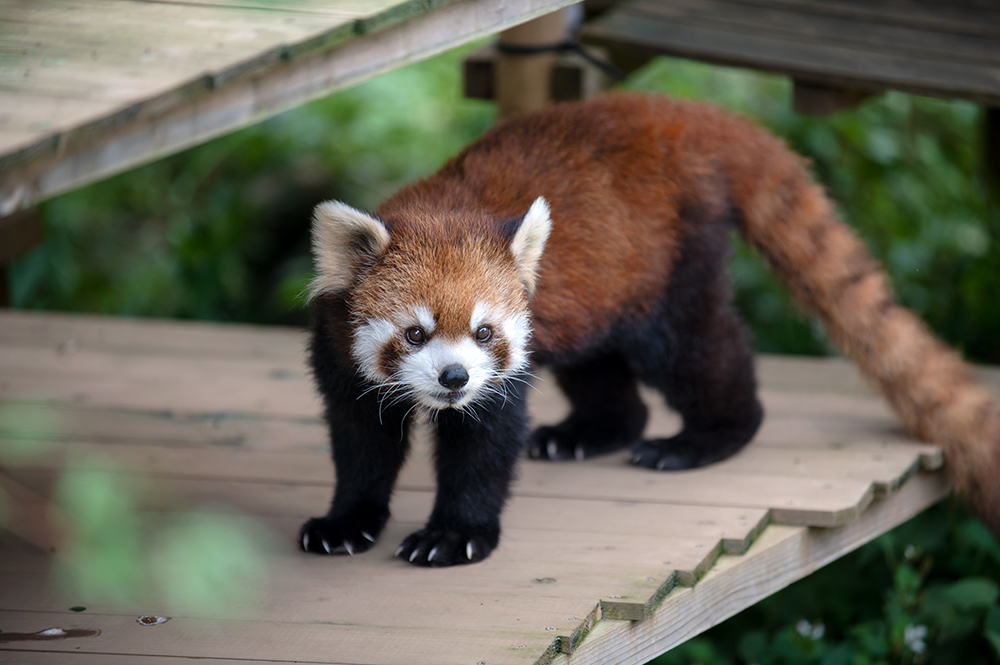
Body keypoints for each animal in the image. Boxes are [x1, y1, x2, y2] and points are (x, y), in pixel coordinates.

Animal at [302, 89, 1000, 564]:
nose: (454, 378)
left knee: (696, 350)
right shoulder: (339, 358)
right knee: (599, 366)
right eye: (416, 333)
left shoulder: (498, 379)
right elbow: (361, 442)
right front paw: (346, 521)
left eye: (484, 332)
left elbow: (483, 446)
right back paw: (588, 431)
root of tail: (683, 112)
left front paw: (454, 534)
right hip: (601, 290)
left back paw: (702, 437)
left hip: (673, 258)